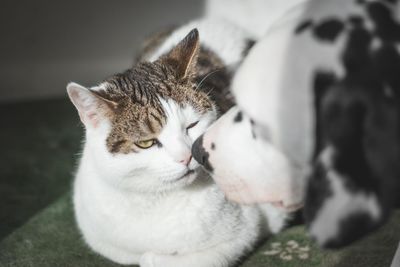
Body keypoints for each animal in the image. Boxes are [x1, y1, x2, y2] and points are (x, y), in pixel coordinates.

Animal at [67, 17, 290, 266]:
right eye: (146, 143)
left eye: (191, 125)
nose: (187, 156)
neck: (155, 201)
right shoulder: (99, 237)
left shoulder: (242, 231)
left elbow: (163, 259)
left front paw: (155, 256)